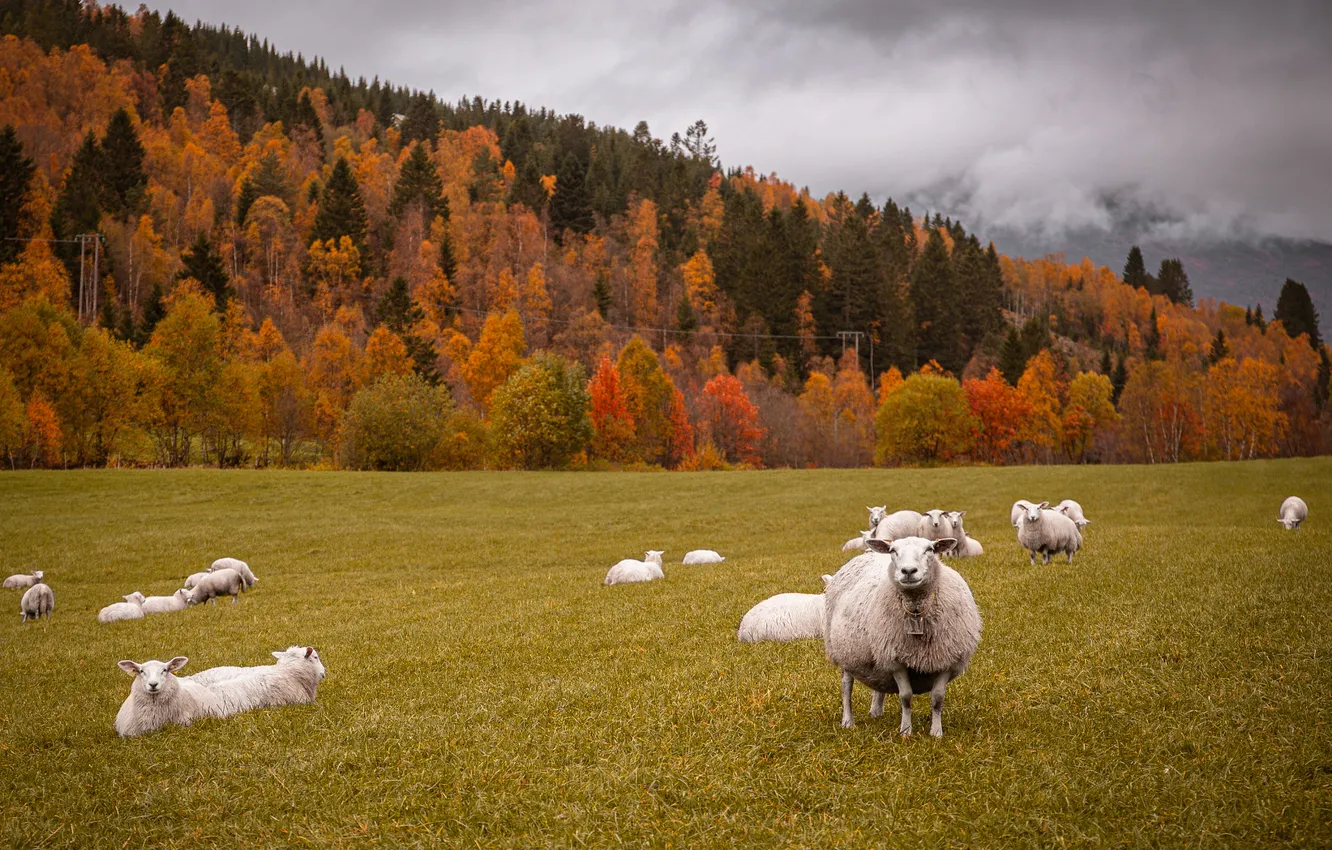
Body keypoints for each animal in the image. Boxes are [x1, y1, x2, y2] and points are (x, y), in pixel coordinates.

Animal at [824, 537, 982, 737]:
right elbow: (905, 697)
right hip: (843, 651)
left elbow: (938, 698)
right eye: (893, 551)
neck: (916, 611)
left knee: (878, 683)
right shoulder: (896, 660)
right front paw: (906, 731)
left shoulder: (947, 659)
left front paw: (936, 732)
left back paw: (876, 712)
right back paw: (847, 721)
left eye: (930, 549)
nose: (908, 571)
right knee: (846, 687)